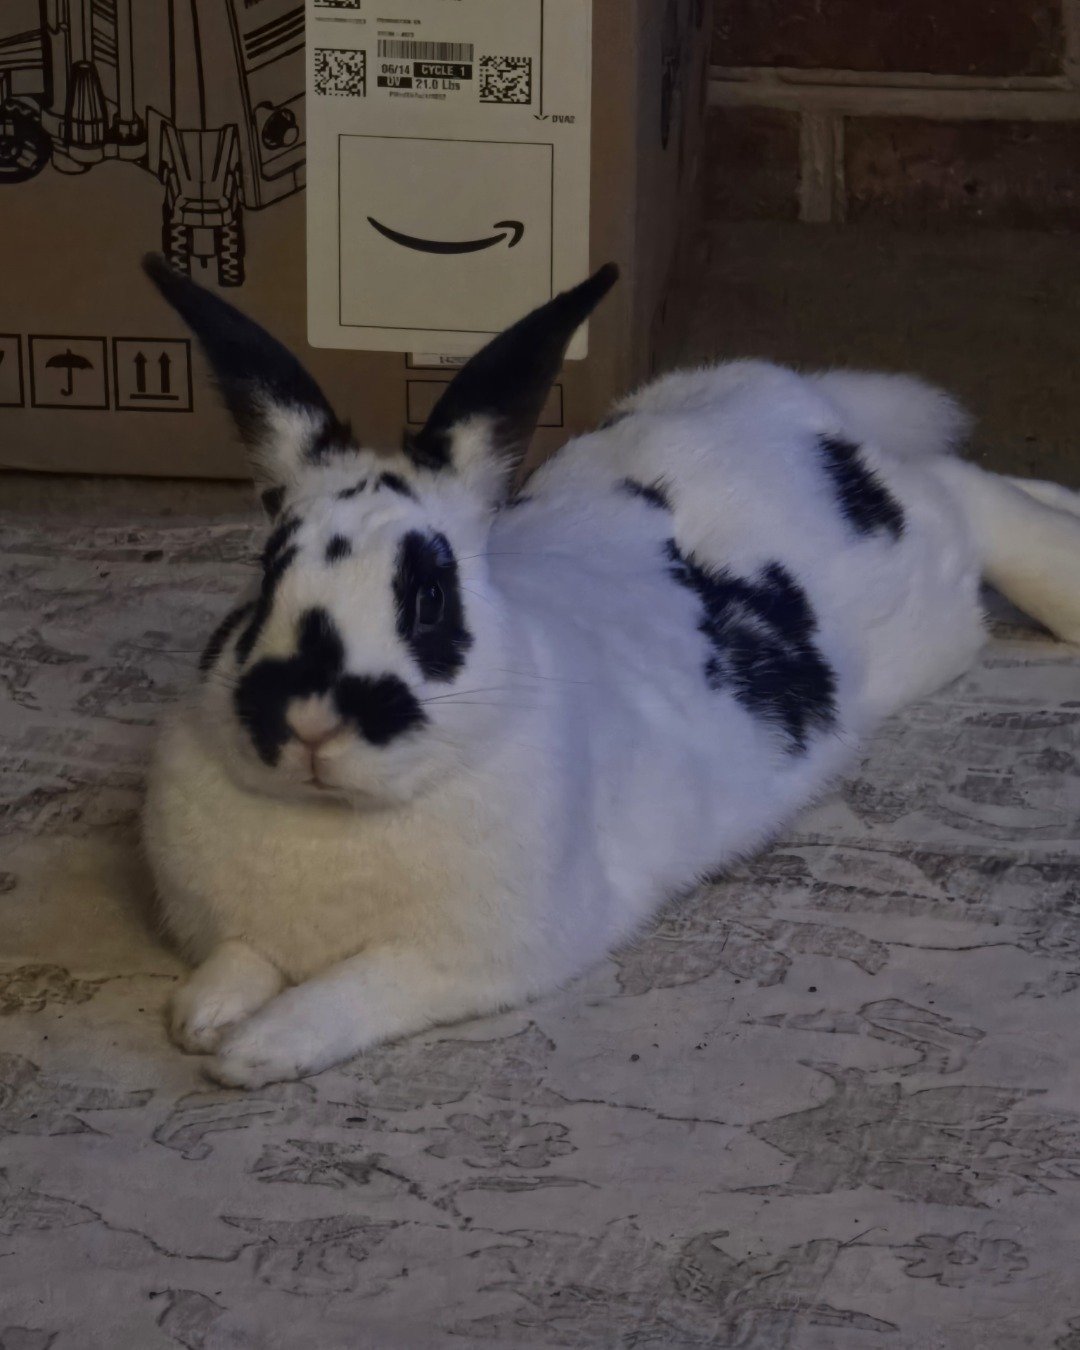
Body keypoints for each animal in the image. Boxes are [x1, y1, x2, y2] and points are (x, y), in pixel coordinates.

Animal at [141, 254, 1080, 1089]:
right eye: (265, 575)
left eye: (430, 599)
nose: (308, 722)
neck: (333, 816)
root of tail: (799, 403)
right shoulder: (246, 931)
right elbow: (238, 960)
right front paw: (202, 1014)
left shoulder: (467, 960)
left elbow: (353, 991)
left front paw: (257, 1050)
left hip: (929, 597)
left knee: (968, 497)